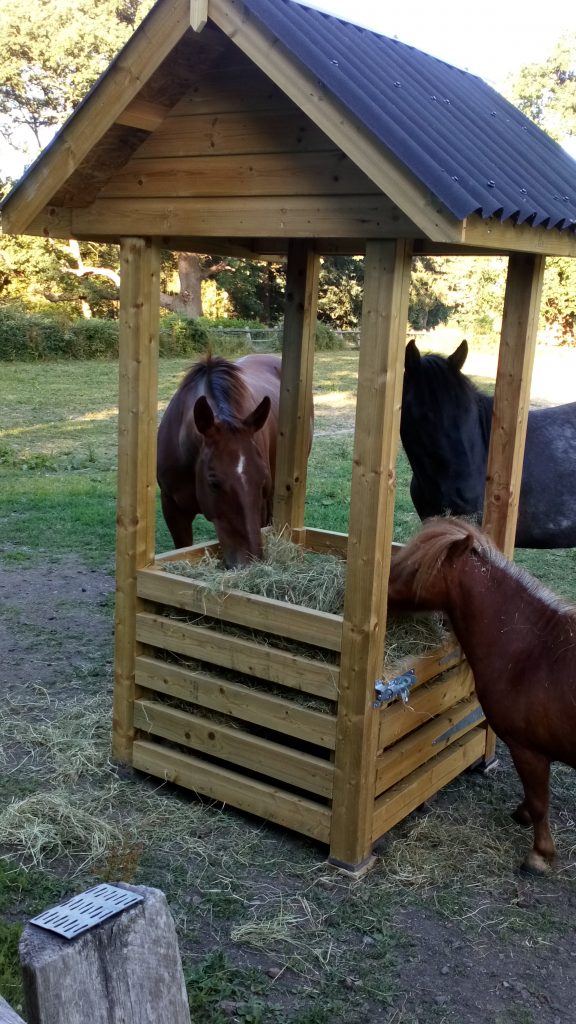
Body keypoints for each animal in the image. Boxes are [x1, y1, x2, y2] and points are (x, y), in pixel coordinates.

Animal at [387, 516, 576, 873]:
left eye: (413, 567)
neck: (535, 652)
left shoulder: (528, 750)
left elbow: (540, 799)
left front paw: (539, 855)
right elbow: (534, 796)